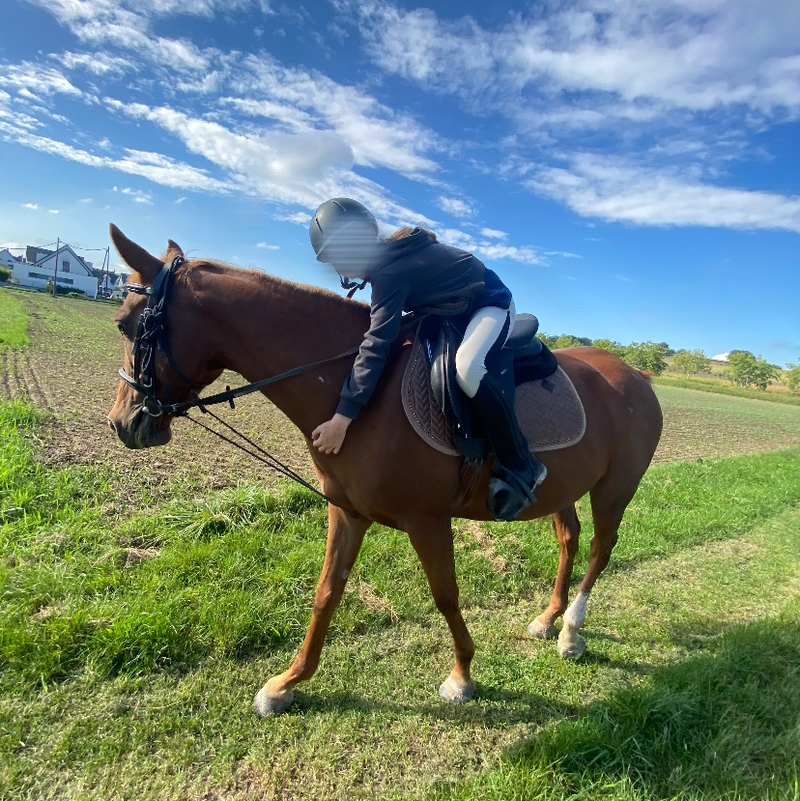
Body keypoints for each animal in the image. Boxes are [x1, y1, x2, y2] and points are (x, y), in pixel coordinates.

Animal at [106, 225, 663, 716]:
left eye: (127, 325)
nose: (122, 423)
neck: (355, 393)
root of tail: (638, 374)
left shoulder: (427, 521)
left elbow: (445, 595)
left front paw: (462, 676)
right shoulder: (348, 512)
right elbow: (326, 593)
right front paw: (287, 684)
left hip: (614, 489)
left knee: (600, 547)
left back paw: (572, 631)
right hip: (563, 490)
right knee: (569, 540)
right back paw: (549, 618)